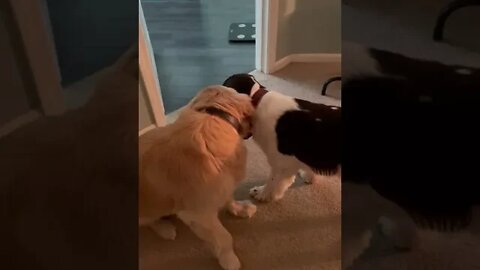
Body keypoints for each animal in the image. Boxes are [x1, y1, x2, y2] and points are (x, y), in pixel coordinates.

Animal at [139, 85, 256, 270]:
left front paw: (239, 208)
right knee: (150, 220)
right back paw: (165, 228)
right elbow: (224, 237)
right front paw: (228, 259)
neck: (214, 117)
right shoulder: (197, 214)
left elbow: (228, 198)